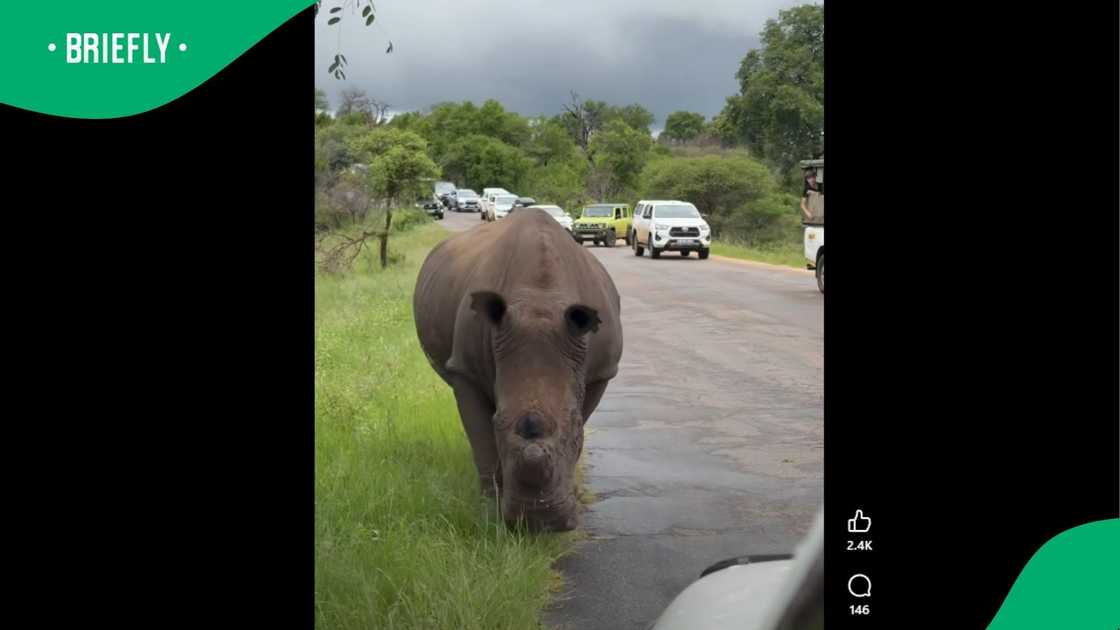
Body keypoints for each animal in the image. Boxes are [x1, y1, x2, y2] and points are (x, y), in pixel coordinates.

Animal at [413, 209, 622, 531]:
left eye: (574, 428)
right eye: (498, 422)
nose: (539, 521)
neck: (542, 299)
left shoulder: (601, 372)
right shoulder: (465, 369)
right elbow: (481, 439)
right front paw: (489, 507)